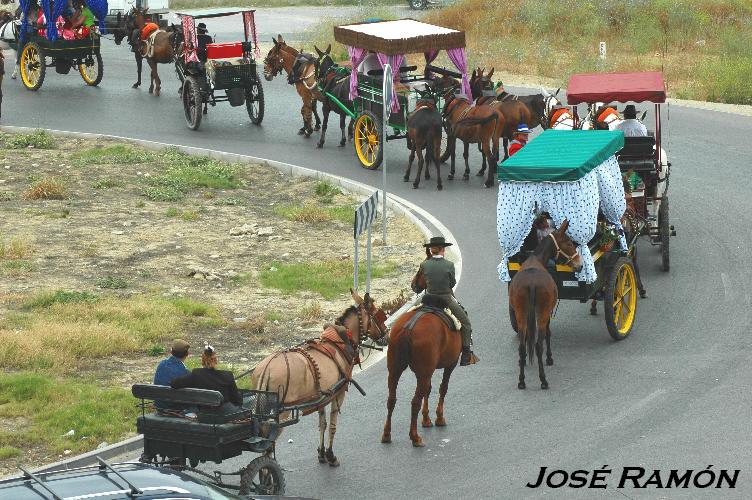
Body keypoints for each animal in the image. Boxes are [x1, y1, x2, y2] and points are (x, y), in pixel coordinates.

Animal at [251, 288, 388, 466]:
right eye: (377, 313)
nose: (387, 335)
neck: (341, 340)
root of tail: (267, 368)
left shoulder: (323, 397)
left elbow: (322, 424)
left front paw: (321, 453)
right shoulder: (338, 393)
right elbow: (332, 425)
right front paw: (330, 455)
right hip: (281, 414)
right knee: (267, 445)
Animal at [382, 264, 464, 448]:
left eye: (419, 271)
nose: (413, 285)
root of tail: (408, 328)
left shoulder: (429, 370)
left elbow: (430, 389)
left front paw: (426, 420)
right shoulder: (450, 364)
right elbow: (442, 388)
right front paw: (438, 418)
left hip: (395, 370)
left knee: (391, 399)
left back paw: (386, 434)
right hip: (423, 372)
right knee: (415, 401)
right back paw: (415, 437)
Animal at [508, 220, 584, 390]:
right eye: (569, 243)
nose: (580, 265)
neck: (536, 258)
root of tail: (531, 283)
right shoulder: (547, 311)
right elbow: (548, 333)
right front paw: (549, 358)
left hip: (520, 313)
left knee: (522, 346)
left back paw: (521, 381)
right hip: (541, 313)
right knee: (538, 345)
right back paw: (543, 380)